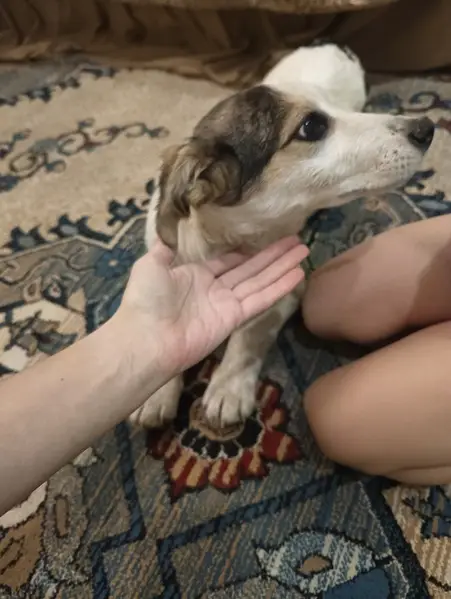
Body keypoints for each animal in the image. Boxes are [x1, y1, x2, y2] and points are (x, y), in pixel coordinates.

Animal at [130, 43, 434, 428]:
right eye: (312, 126)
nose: (427, 127)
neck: (229, 241)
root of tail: (331, 45)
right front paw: (156, 393)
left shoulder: (291, 284)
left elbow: (250, 331)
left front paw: (228, 387)